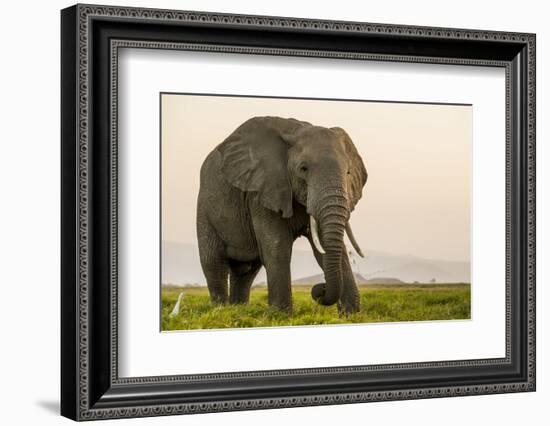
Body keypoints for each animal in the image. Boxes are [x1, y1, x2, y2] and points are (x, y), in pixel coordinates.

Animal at [196, 115, 368, 312]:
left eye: (348, 172)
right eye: (303, 169)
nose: (318, 289)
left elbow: (325, 248)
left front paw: (352, 315)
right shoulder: (262, 191)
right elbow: (277, 247)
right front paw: (280, 314)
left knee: (246, 272)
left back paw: (238, 309)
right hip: (204, 209)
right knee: (213, 262)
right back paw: (221, 310)